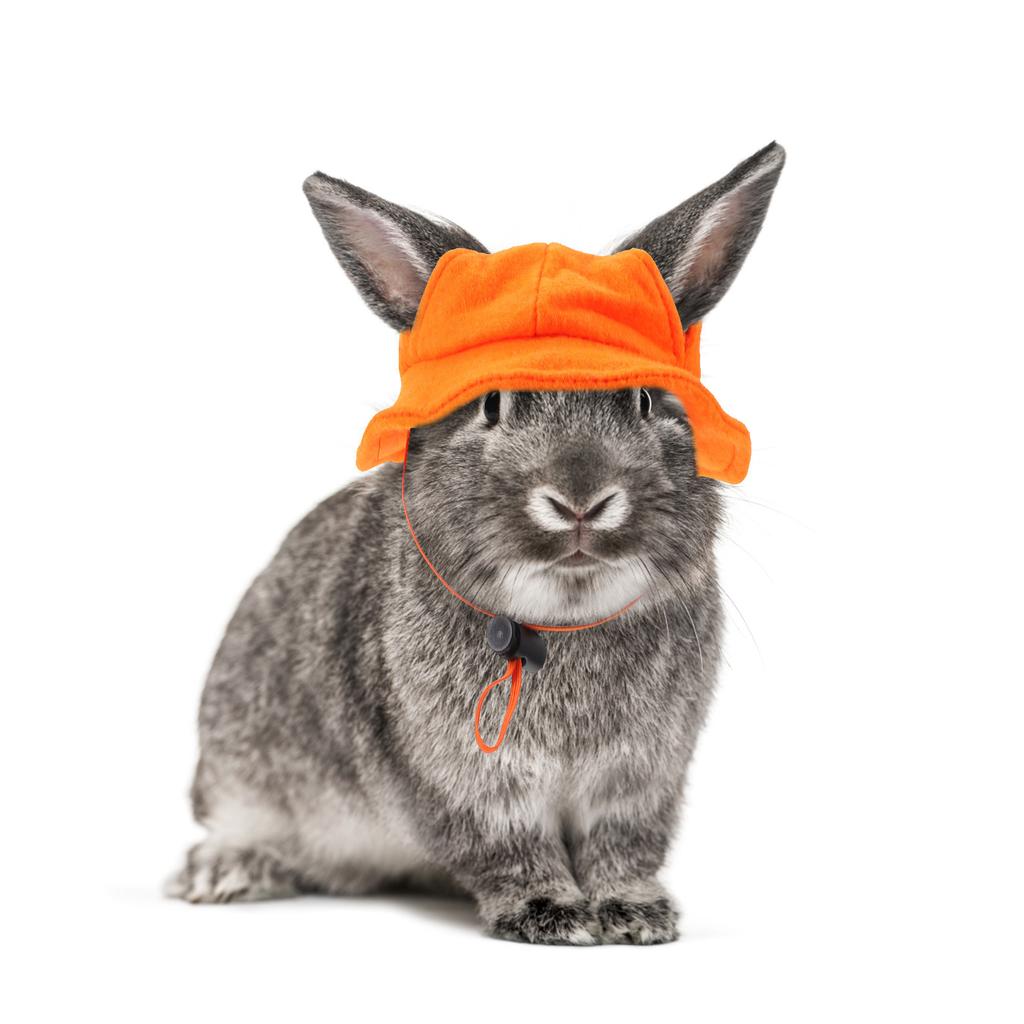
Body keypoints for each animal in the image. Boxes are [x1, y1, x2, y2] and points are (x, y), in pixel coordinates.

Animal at [167, 142, 785, 944]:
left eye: (644, 400)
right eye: (493, 404)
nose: (580, 499)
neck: (563, 618)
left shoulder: (640, 781)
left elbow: (624, 846)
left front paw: (634, 913)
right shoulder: (467, 784)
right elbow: (508, 847)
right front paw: (549, 912)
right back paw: (226, 872)